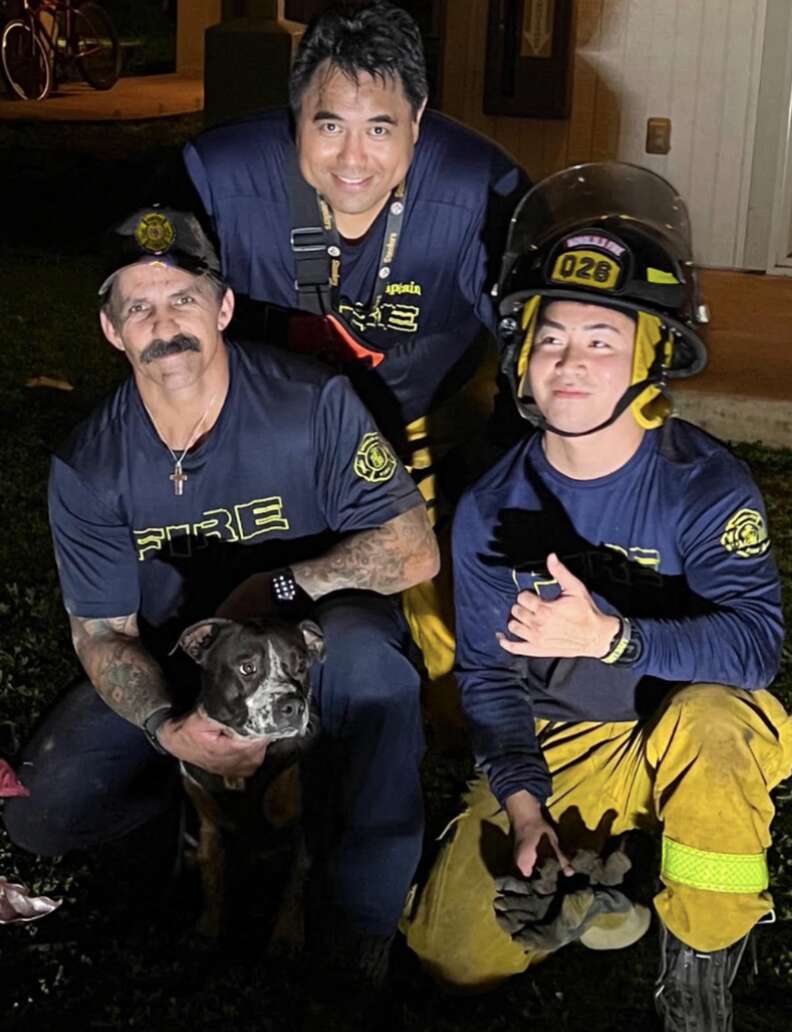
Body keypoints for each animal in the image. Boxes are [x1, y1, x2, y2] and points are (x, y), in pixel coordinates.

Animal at [177, 615, 326, 945]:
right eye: (247, 668)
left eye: (301, 666)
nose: (294, 706)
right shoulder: (208, 825)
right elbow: (212, 880)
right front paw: (207, 929)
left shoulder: (302, 824)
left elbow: (295, 883)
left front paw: (286, 937)